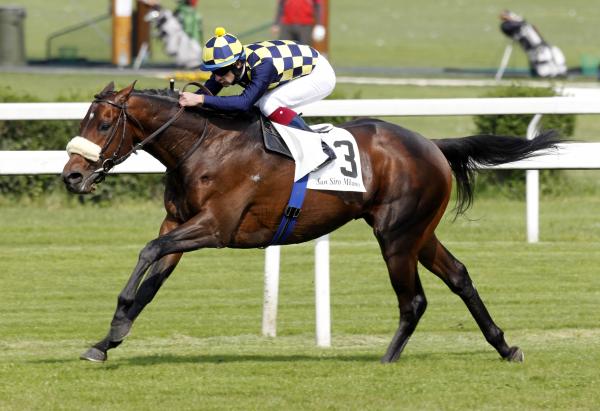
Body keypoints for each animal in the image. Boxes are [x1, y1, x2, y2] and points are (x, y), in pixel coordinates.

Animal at [63, 81, 560, 364]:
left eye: (103, 124)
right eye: (83, 121)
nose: (72, 175)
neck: (204, 145)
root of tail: (432, 144)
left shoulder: (215, 227)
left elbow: (147, 252)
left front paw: (117, 320)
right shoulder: (178, 224)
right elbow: (152, 278)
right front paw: (107, 340)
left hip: (396, 235)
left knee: (414, 300)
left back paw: (387, 359)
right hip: (420, 232)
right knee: (459, 276)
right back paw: (505, 346)